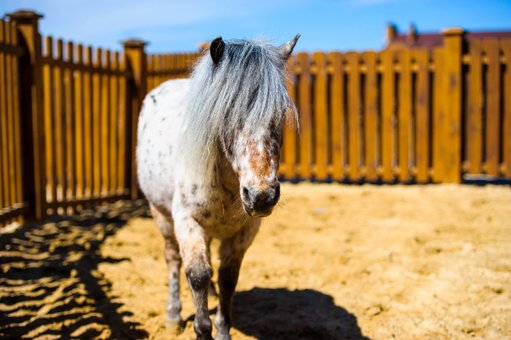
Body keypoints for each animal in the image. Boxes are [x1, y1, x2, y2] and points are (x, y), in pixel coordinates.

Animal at [138, 35, 300, 340]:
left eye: (279, 113)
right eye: (227, 114)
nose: (261, 196)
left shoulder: (244, 231)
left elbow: (228, 278)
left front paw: (222, 328)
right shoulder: (187, 222)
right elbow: (197, 275)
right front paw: (202, 328)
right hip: (160, 214)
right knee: (173, 260)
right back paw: (173, 315)